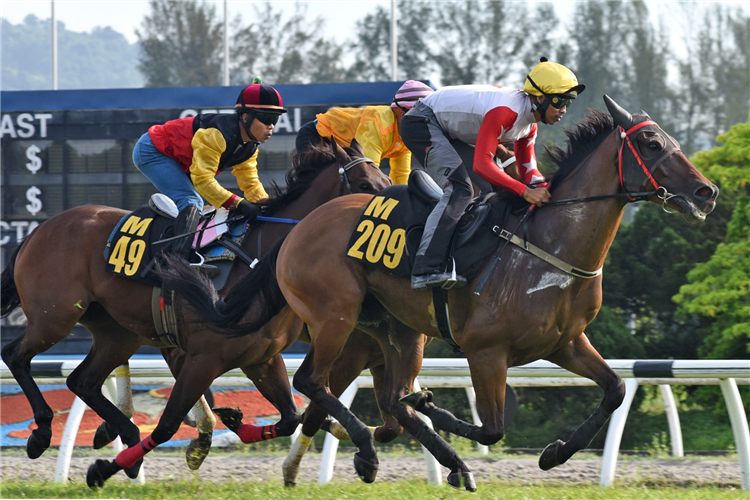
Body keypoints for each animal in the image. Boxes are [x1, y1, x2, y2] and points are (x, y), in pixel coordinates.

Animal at [166, 95, 716, 490]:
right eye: (651, 143)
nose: (706, 192)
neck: (546, 246)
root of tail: (298, 227)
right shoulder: (486, 351)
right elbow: (490, 428)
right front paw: (435, 408)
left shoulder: (564, 342)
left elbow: (616, 389)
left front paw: (555, 452)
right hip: (335, 315)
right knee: (312, 382)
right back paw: (367, 447)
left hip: (397, 330)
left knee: (374, 398)